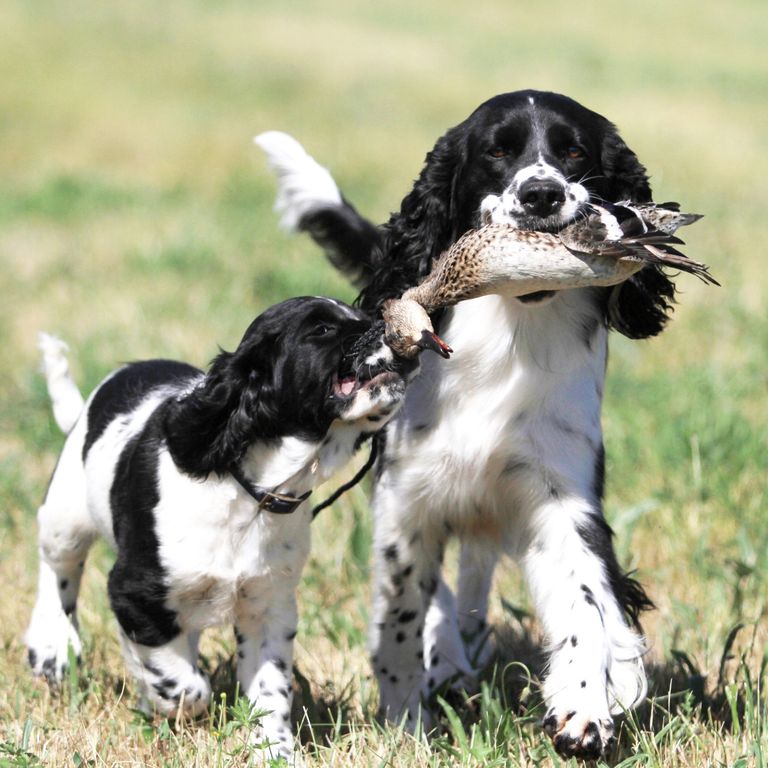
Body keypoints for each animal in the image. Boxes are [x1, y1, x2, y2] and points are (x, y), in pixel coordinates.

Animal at [28, 296, 420, 760]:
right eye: (321, 329)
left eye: (360, 314)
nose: (388, 324)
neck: (253, 492)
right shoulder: (134, 595)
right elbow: (183, 686)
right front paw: (166, 699)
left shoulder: (269, 604)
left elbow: (270, 689)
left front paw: (275, 753)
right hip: (66, 516)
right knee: (58, 568)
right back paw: (51, 648)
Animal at [256, 88, 680, 756]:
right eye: (497, 152)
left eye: (575, 151)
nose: (542, 195)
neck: (512, 329)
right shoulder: (406, 499)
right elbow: (402, 616)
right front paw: (407, 719)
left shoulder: (560, 492)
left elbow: (586, 599)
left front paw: (586, 706)